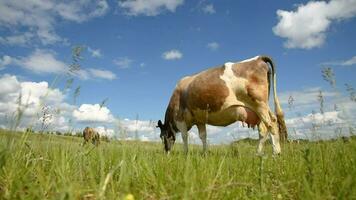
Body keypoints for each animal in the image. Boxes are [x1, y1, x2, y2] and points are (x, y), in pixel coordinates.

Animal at [157, 55, 288, 155]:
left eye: (162, 136)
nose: (166, 152)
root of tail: (259, 58)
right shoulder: (200, 120)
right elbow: (203, 136)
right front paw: (205, 153)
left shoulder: (180, 120)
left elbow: (185, 136)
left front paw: (186, 153)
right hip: (260, 108)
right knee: (264, 129)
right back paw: (258, 153)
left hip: (259, 104)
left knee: (271, 124)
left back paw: (276, 153)